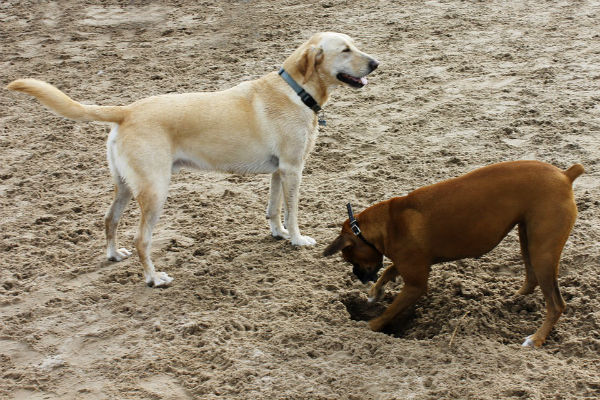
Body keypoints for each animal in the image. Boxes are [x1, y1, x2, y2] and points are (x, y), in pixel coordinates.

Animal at [7, 32, 378, 288]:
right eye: (345, 50)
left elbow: (274, 210)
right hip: (155, 190)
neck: (296, 90)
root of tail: (127, 111)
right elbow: (292, 211)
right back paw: (154, 279)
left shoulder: (278, 171)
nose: (376, 63)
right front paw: (298, 239)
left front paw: (279, 234)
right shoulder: (292, 169)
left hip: (125, 186)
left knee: (109, 220)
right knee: (141, 240)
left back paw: (114, 255)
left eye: (354, 45)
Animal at [326, 160, 584, 346]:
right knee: (531, 279)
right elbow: (389, 269)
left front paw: (369, 325)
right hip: (528, 238)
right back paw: (514, 298)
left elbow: (389, 311)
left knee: (556, 304)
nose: (357, 276)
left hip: (543, 252)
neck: (389, 222)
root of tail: (565, 175)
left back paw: (536, 338)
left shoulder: (415, 286)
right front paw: (375, 292)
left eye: (349, 258)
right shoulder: (409, 264)